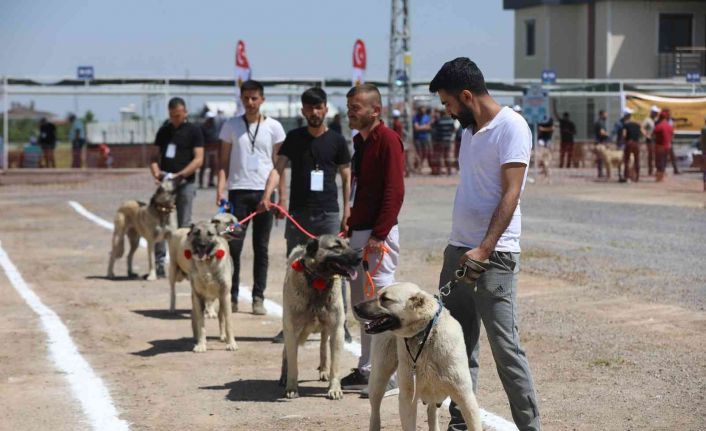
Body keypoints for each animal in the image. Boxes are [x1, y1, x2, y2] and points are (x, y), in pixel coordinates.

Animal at [187, 221, 239, 352]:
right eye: (196, 233)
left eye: (210, 234)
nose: (202, 245)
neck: (206, 263)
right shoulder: (198, 297)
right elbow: (200, 323)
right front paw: (201, 344)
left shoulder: (225, 295)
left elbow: (229, 322)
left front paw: (231, 343)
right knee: (193, 316)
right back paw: (196, 338)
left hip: (222, 299)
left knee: (221, 316)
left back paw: (223, 336)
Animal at [278, 236, 360, 402]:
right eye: (336, 247)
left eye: (349, 244)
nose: (360, 257)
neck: (318, 280)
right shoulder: (292, 331)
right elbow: (293, 364)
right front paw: (291, 387)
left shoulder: (337, 331)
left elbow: (335, 365)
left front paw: (334, 389)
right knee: (285, 353)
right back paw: (283, 376)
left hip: (325, 330)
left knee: (323, 348)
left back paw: (323, 370)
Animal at [354, 284, 482, 431]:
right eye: (378, 295)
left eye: (385, 299)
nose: (355, 306)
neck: (425, 335)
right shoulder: (407, 398)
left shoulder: (465, 397)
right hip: (379, 377)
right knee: (375, 412)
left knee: (432, 413)